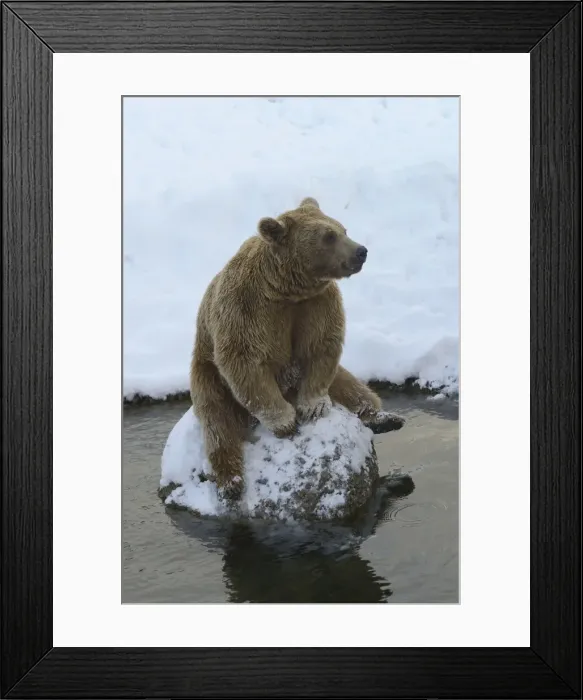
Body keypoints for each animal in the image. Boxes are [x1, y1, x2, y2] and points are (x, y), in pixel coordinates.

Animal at [190, 197, 396, 502]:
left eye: (343, 229)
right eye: (329, 236)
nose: (361, 251)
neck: (285, 290)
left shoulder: (317, 304)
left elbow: (321, 349)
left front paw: (313, 407)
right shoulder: (247, 308)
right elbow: (244, 362)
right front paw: (285, 421)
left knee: (350, 384)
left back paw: (385, 418)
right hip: (207, 374)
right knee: (218, 423)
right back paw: (231, 481)